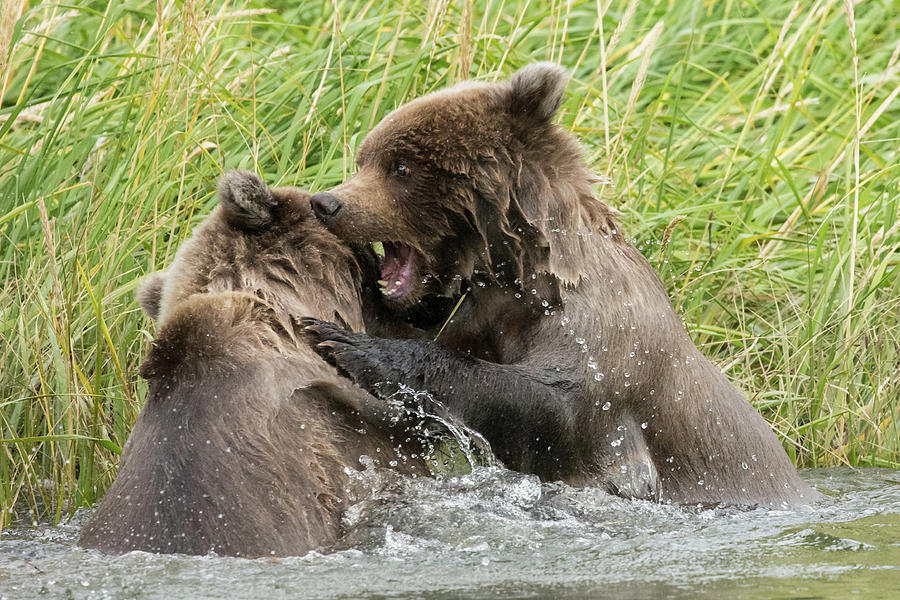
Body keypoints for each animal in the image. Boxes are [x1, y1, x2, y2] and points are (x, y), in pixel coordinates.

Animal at [302, 64, 816, 506]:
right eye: (365, 158)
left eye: (401, 167)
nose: (326, 202)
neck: (526, 274)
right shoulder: (484, 314)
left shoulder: (600, 333)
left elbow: (551, 403)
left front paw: (348, 345)